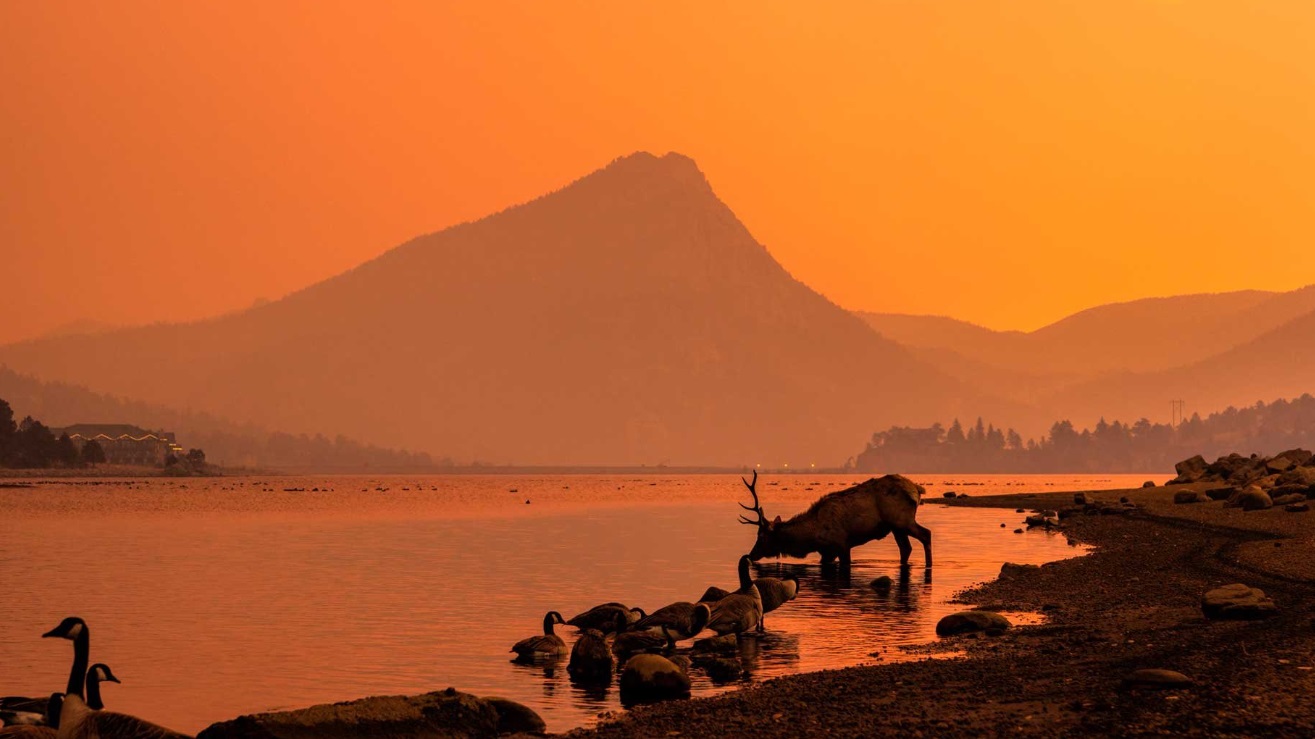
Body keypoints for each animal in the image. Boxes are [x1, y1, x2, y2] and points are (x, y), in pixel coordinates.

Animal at [741, 468, 936, 565]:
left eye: (761, 536)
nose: (751, 554)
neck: (811, 537)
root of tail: (917, 489)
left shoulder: (841, 544)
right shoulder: (827, 552)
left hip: (902, 520)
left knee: (926, 534)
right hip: (896, 527)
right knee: (906, 548)